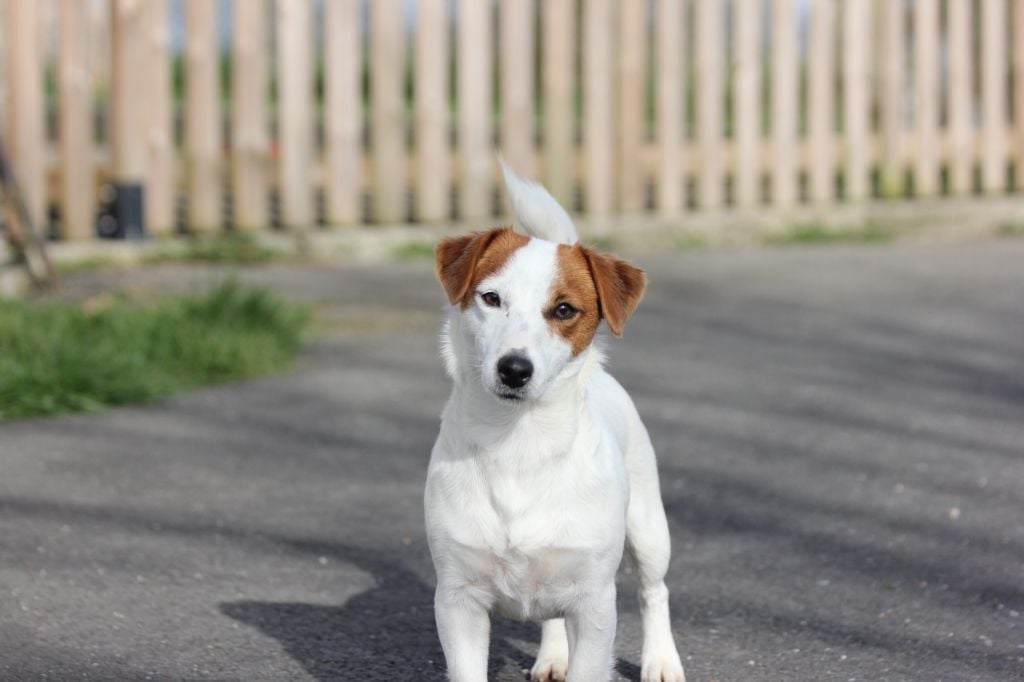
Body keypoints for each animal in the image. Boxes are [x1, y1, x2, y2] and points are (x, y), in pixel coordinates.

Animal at [423, 160, 688, 679]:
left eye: (564, 309)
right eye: (491, 298)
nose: (514, 368)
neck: (519, 442)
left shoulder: (594, 604)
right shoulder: (457, 601)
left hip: (649, 530)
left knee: (655, 591)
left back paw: (662, 660)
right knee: (550, 615)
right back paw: (553, 655)